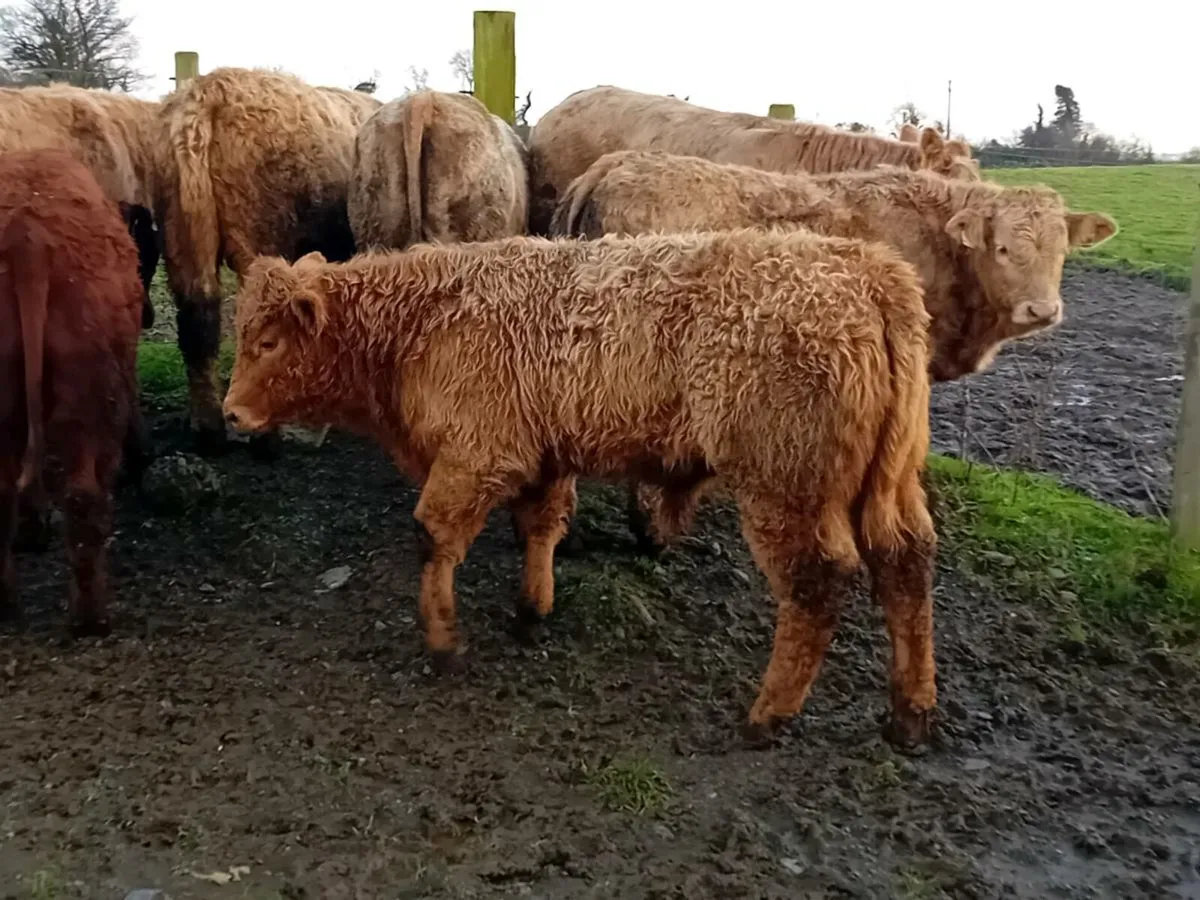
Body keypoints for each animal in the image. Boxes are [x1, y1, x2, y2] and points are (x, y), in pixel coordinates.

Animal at [150, 66, 381, 458]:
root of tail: (208, 91)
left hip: (181, 235)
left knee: (198, 326)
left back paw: (209, 433)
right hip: (259, 238)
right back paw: (265, 440)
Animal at [221, 228, 941, 749]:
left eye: (267, 340)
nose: (229, 413)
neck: (424, 320)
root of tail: (866, 268)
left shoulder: (476, 455)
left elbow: (435, 536)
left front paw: (444, 641)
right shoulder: (540, 455)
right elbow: (542, 525)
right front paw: (531, 609)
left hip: (785, 491)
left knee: (815, 588)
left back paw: (768, 715)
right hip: (888, 490)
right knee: (906, 568)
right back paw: (909, 713)